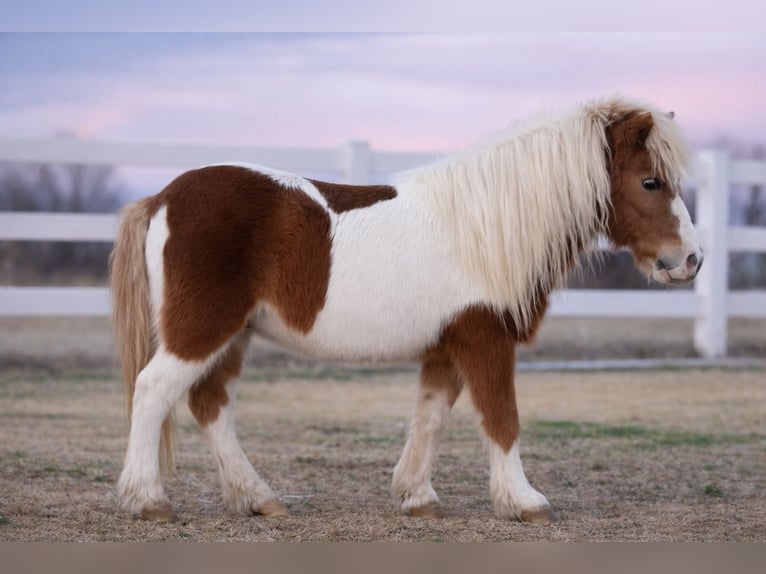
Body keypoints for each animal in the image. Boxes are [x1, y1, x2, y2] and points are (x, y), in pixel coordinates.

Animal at [110, 95, 702, 523]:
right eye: (650, 181)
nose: (690, 260)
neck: (486, 225)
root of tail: (161, 198)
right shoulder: (486, 339)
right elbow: (502, 418)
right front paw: (524, 501)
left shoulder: (447, 347)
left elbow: (431, 416)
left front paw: (417, 497)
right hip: (201, 327)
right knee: (154, 390)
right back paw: (148, 500)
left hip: (235, 334)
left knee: (211, 404)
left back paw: (258, 498)